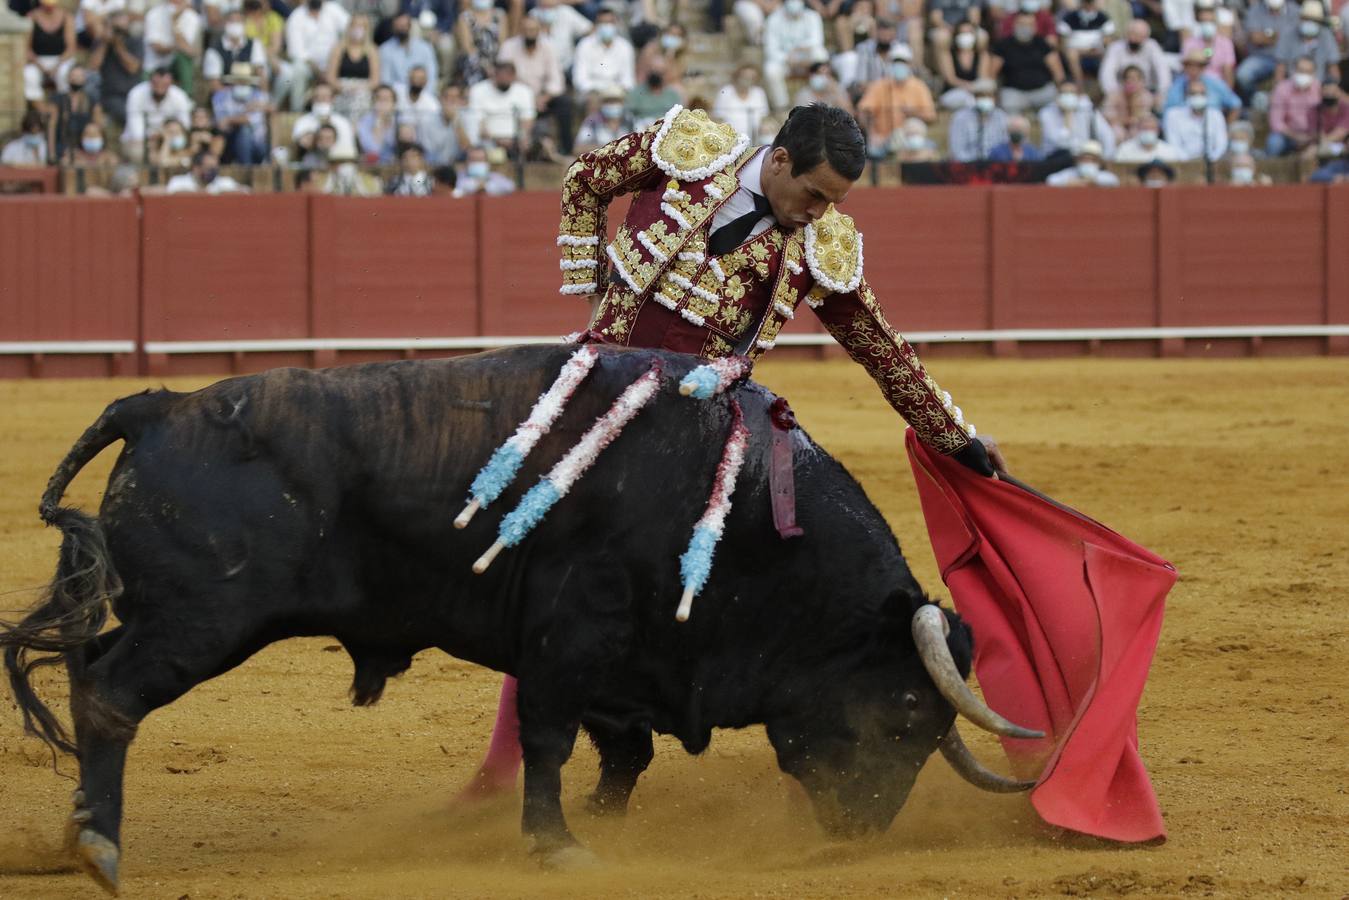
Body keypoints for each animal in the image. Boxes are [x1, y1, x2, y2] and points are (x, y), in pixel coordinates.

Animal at [0, 345, 1036, 895]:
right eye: (903, 716)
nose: (860, 834)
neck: (741, 515)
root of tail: (160, 404)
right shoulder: (571, 635)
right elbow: (549, 735)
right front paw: (557, 842)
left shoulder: (629, 662)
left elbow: (623, 751)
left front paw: (605, 830)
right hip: (203, 621)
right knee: (110, 696)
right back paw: (101, 846)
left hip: (163, 614)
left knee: (88, 671)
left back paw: (79, 831)